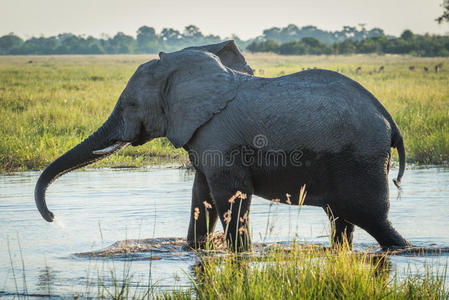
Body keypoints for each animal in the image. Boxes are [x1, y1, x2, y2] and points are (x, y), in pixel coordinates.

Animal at [34, 39, 410, 251]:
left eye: (130, 105)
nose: (53, 218)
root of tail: (390, 122)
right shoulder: (204, 140)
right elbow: (202, 197)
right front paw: (195, 249)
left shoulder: (220, 139)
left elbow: (230, 197)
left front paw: (239, 254)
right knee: (342, 220)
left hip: (361, 161)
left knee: (373, 219)